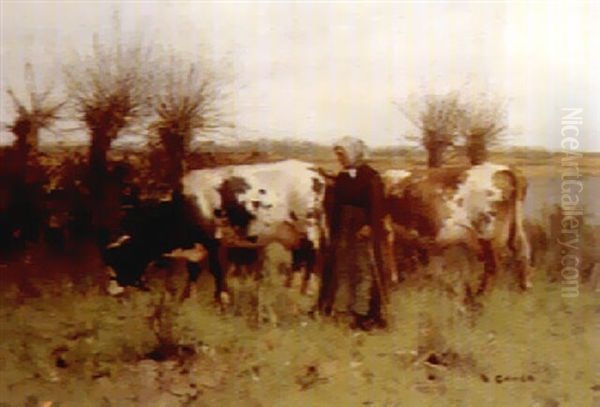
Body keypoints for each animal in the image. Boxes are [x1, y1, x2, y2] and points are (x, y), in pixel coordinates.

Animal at [382, 163, 532, 296]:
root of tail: (505, 168)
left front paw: (393, 284)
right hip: (513, 230)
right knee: (522, 253)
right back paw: (523, 289)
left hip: (488, 235)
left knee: (493, 267)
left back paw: (481, 297)